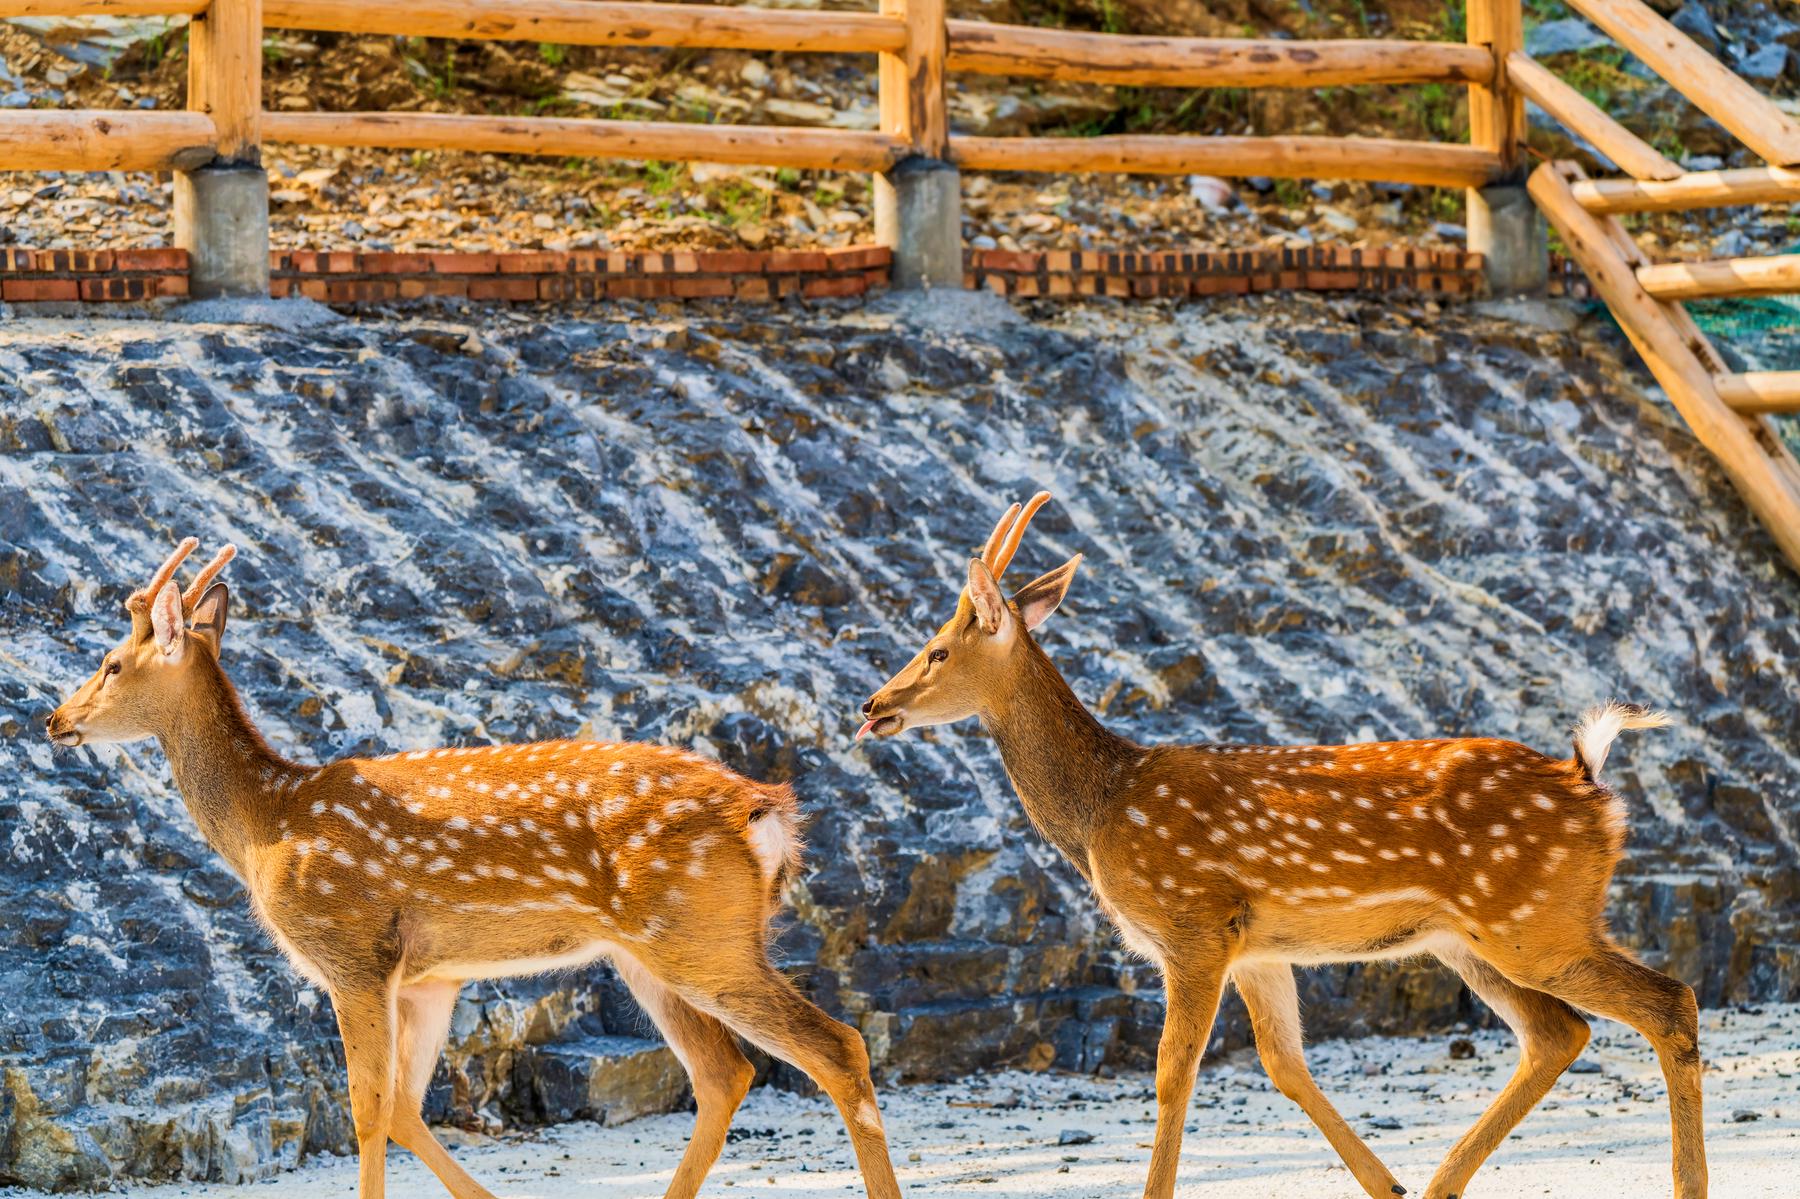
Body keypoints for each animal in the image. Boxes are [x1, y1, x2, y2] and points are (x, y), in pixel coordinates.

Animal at [45, 536, 900, 1195]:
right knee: (725, 1073)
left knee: (836, 1047)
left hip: (701, 936)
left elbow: (366, 1108)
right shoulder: (430, 975)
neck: (270, 823)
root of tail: (766, 811)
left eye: (112, 663)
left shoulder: (352, 949)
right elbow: (402, 1106)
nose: (55, 718)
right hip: (654, 951)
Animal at [856, 489, 1699, 1195]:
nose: (871, 705)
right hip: (1474, 936)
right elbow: (1284, 1063)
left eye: (937, 649)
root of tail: (1587, 776)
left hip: (1536, 918)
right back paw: (1435, 1185)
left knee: (1668, 1001)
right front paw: (1386, 1185)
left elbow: (1174, 1071)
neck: (1102, 807)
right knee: (1559, 1031)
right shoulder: (1258, 945)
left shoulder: (1192, 923)